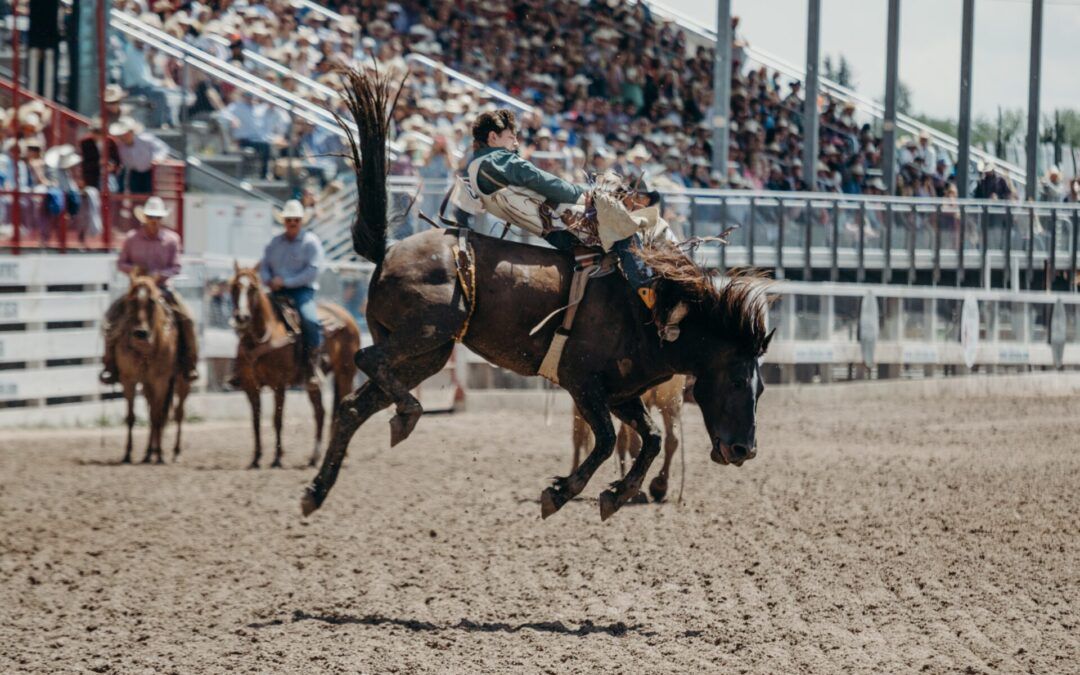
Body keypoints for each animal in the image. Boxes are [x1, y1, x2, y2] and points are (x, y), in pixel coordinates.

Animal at [112, 274, 193, 462]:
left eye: (152, 302)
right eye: (131, 300)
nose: (140, 333)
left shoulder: (161, 381)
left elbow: (158, 416)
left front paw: (161, 454)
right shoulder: (129, 380)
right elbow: (132, 416)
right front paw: (128, 453)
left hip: (182, 381)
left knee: (178, 413)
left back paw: (174, 452)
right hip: (147, 385)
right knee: (153, 413)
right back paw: (149, 453)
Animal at [227, 264, 362, 468]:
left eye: (253, 289)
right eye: (234, 287)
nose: (242, 317)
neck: (261, 337)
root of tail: (347, 316)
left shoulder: (279, 384)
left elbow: (277, 419)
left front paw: (277, 458)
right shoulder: (250, 386)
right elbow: (256, 420)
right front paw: (256, 458)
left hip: (345, 374)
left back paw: (341, 455)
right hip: (312, 383)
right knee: (320, 413)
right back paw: (315, 457)